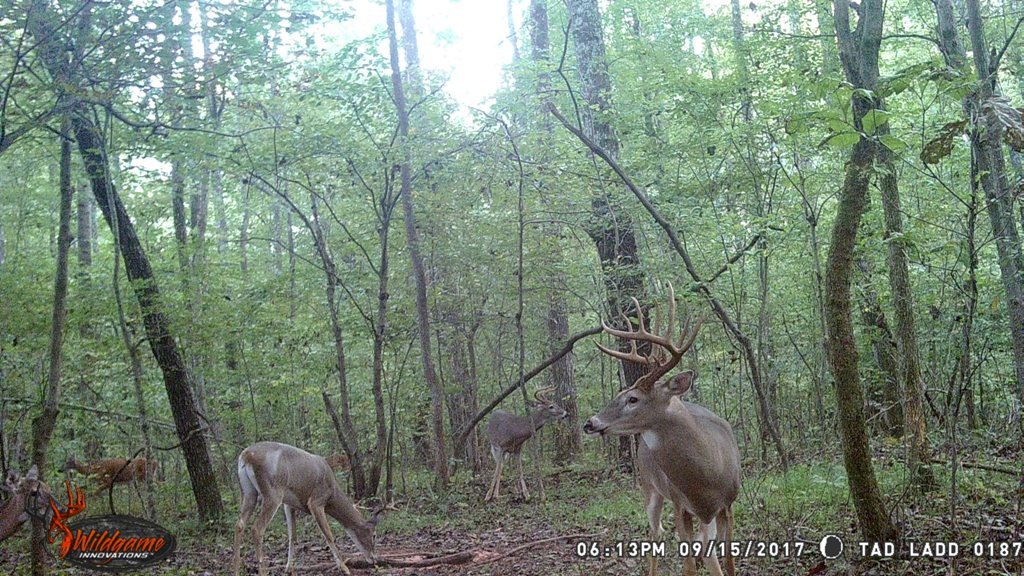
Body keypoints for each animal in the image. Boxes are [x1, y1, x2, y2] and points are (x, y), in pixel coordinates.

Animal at [232, 441, 380, 576]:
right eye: (373, 535)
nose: (373, 559)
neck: (332, 494)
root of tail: (246, 455)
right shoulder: (316, 501)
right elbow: (328, 534)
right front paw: (344, 568)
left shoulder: (289, 504)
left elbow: (292, 536)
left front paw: (289, 568)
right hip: (273, 493)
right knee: (257, 529)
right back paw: (262, 571)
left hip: (249, 493)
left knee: (239, 524)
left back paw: (236, 570)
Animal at [583, 286, 740, 576]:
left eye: (632, 398)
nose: (590, 423)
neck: (709, 474)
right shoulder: (680, 505)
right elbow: (688, 565)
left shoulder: (728, 504)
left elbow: (728, 560)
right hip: (649, 488)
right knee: (654, 534)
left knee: (704, 548)